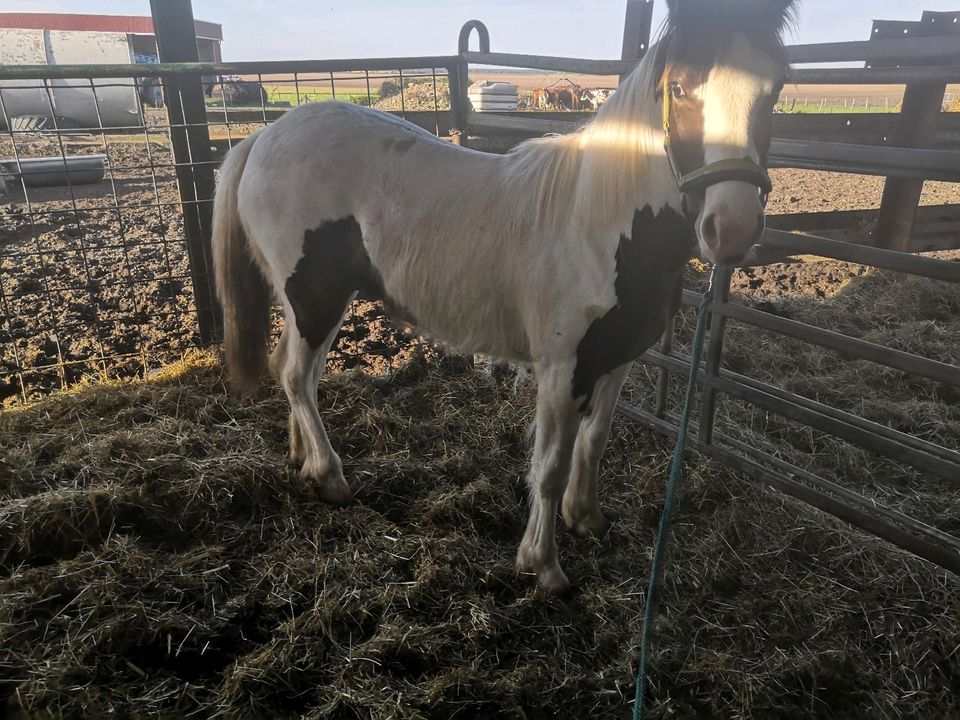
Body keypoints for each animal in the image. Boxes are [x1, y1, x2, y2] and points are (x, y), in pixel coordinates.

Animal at [216, 0, 796, 596]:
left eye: (775, 87)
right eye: (678, 87)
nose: (732, 228)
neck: (600, 223)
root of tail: (261, 140)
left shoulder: (617, 361)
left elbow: (595, 442)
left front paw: (587, 519)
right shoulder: (562, 371)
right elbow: (550, 468)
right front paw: (544, 566)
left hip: (315, 303)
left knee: (295, 372)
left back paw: (302, 460)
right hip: (316, 297)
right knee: (294, 375)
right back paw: (331, 477)